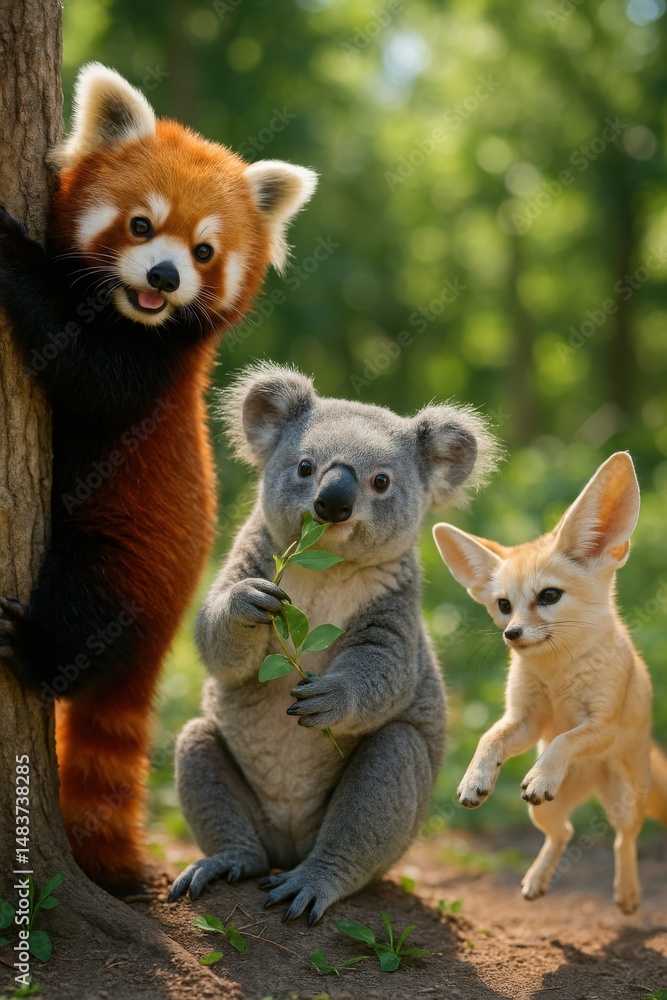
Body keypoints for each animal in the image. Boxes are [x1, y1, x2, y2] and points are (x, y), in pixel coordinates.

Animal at [433, 452, 667, 914]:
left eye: (549, 596)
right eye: (504, 605)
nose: (512, 634)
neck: (558, 676)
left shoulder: (601, 724)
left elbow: (565, 739)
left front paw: (542, 774)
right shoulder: (525, 720)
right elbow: (489, 737)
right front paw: (475, 777)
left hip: (625, 805)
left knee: (623, 840)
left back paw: (628, 893)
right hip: (541, 814)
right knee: (564, 834)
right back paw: (536, 880)